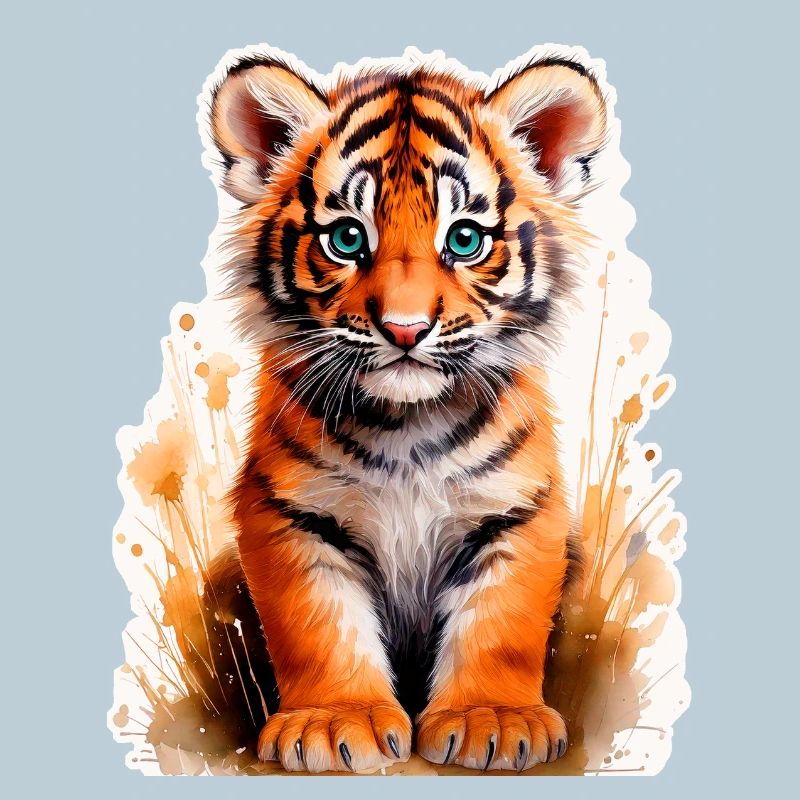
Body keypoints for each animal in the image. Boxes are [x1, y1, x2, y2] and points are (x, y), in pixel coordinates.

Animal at [208, 46, 607, 773]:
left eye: (466, 239)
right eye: (345, 239)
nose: (404, 328)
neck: (407, 426)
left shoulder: (518, 511)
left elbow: (502, 624)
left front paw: (492, 719)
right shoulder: (289, 514)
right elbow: (318, 625)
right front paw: (334, 723)